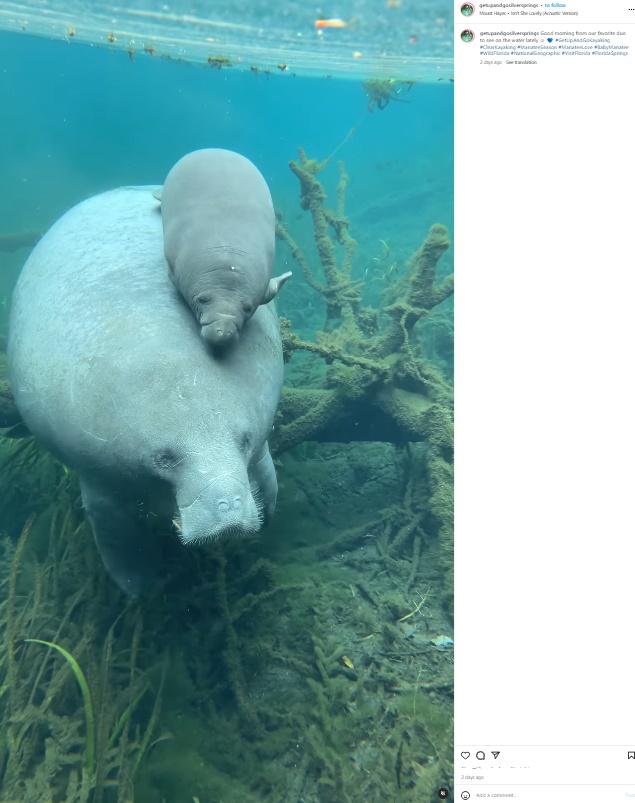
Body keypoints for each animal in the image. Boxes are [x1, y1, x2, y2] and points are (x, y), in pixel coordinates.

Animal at [7, 185, 284, 592]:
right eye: (166, 458)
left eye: (243, 440)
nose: (228, 517)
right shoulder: (96, 476)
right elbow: (119, 536)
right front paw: (143, 587)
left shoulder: (261, 434)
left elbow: (266, 476)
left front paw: (268, 518)